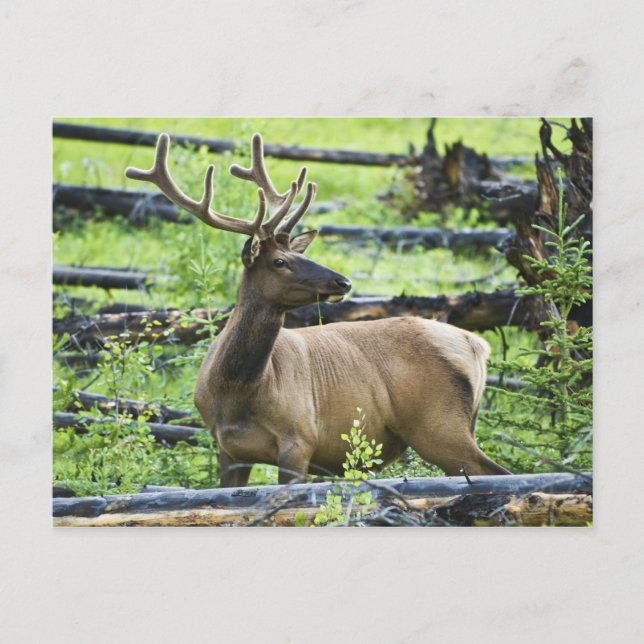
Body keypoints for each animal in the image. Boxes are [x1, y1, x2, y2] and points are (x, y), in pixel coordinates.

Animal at [125, 132, 510, 486]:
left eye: (297, 255)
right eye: (280, 261)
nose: (343, 282)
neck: (237, 393)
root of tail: (476, 345)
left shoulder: (299, 439)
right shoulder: (228, 449)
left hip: (439, 424)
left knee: (497, 473)